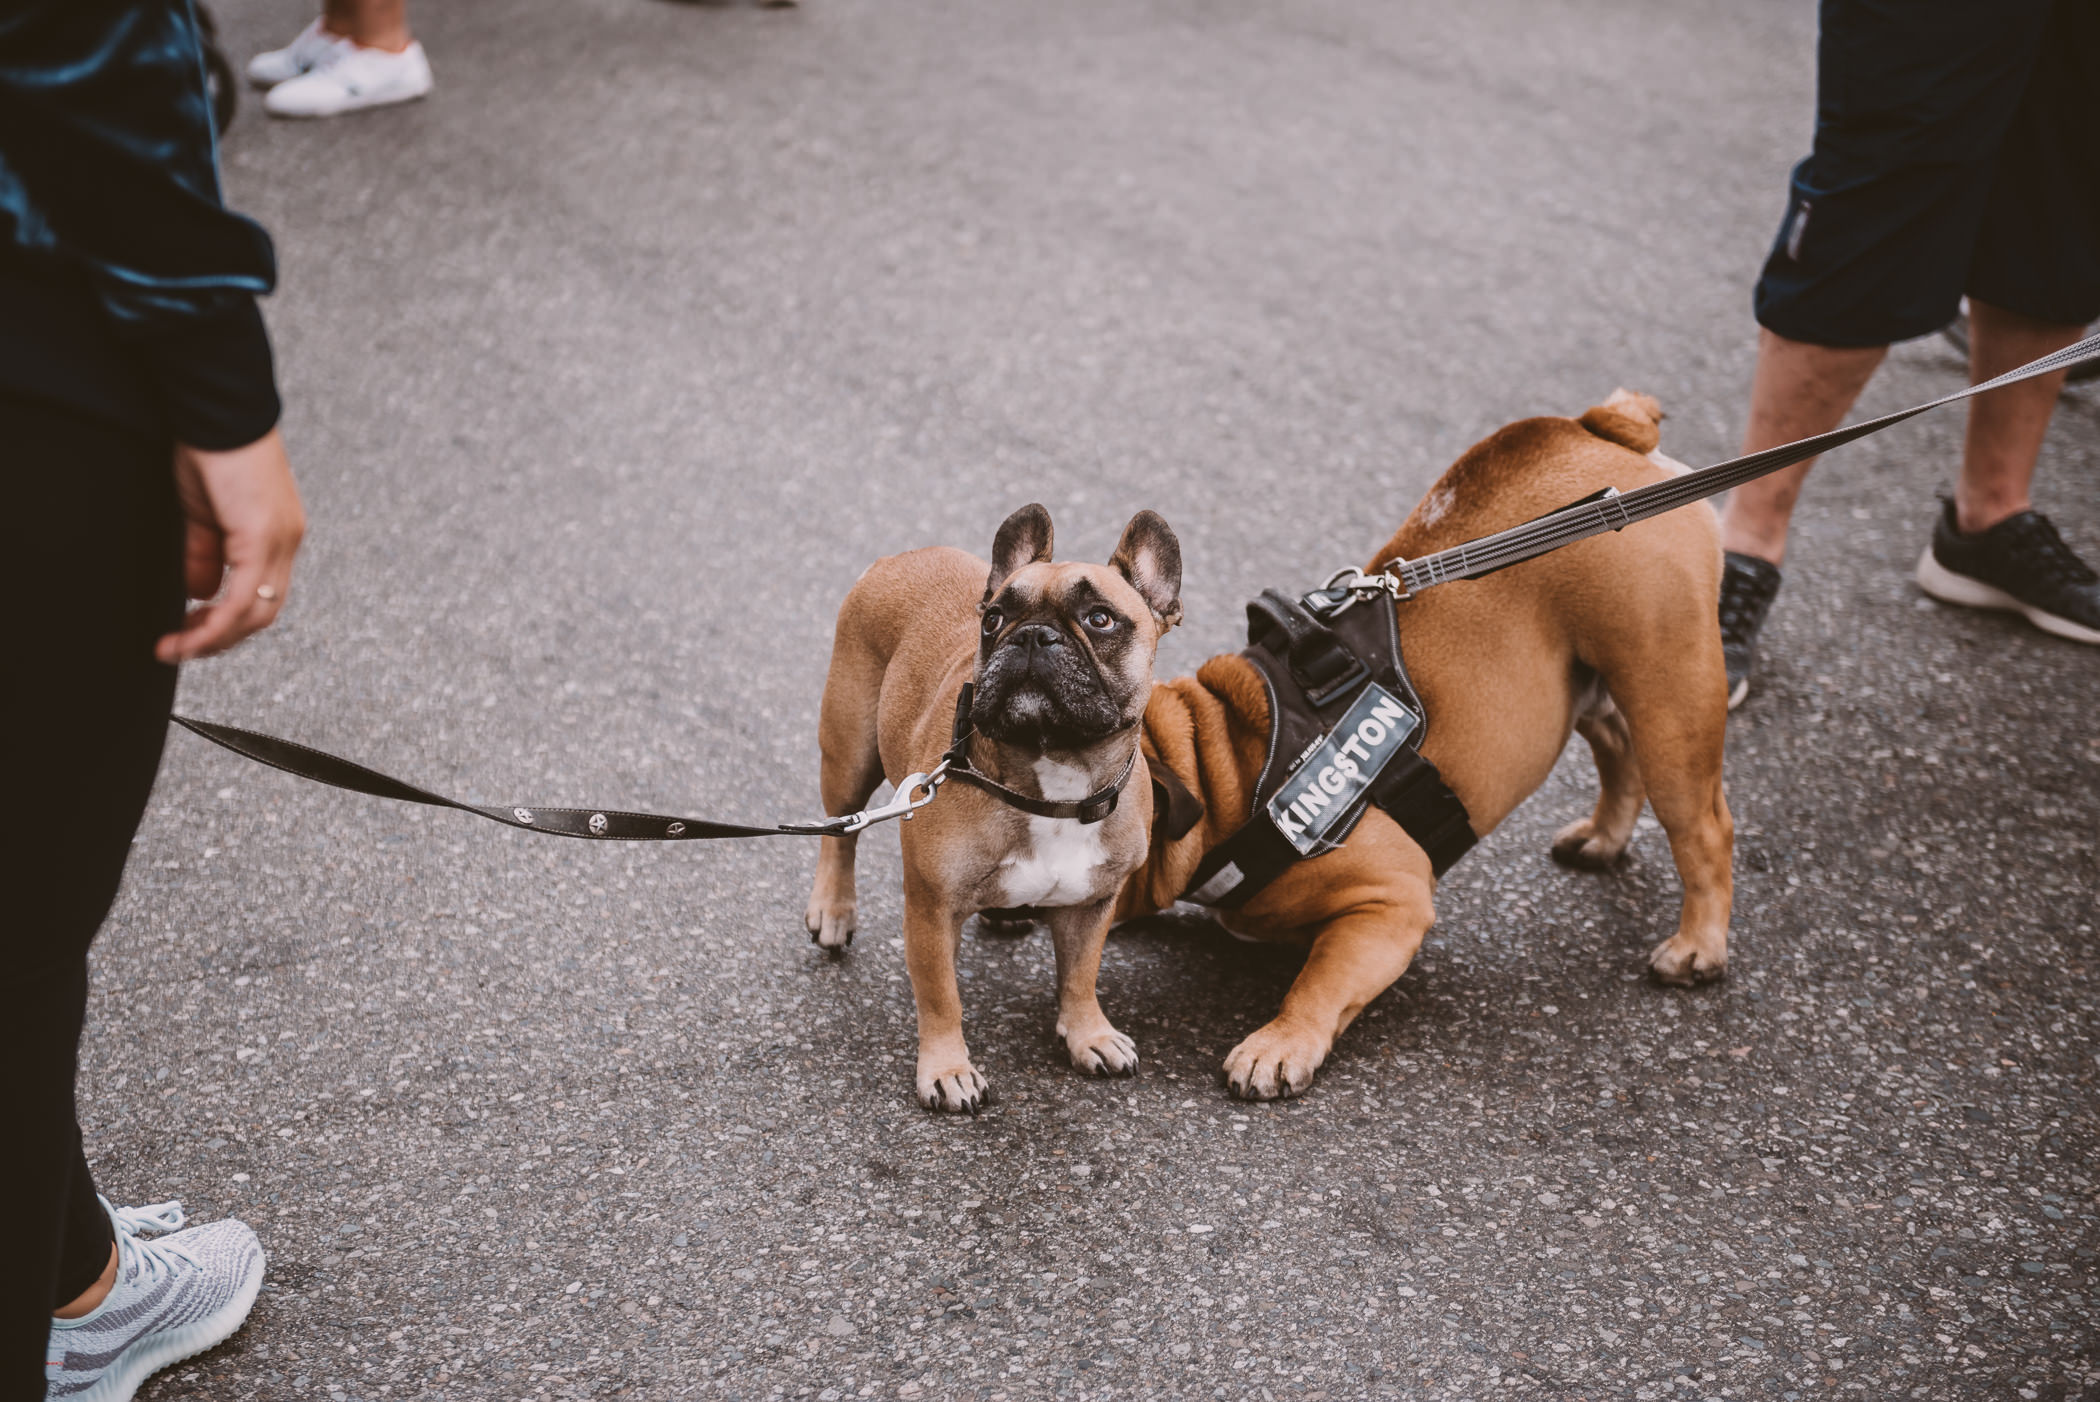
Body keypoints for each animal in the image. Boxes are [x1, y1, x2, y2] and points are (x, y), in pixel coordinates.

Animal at [1125, 388, 1730, 1099]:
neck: (1223, 764)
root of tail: (1601, 429)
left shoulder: (1390, 904)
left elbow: (1320, 982)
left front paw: (1278, 1043)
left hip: (1668, 685)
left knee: (1702, 827)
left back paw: (1697, 948)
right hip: (1592, 680)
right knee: (1615, 746)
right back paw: (1602, 840)